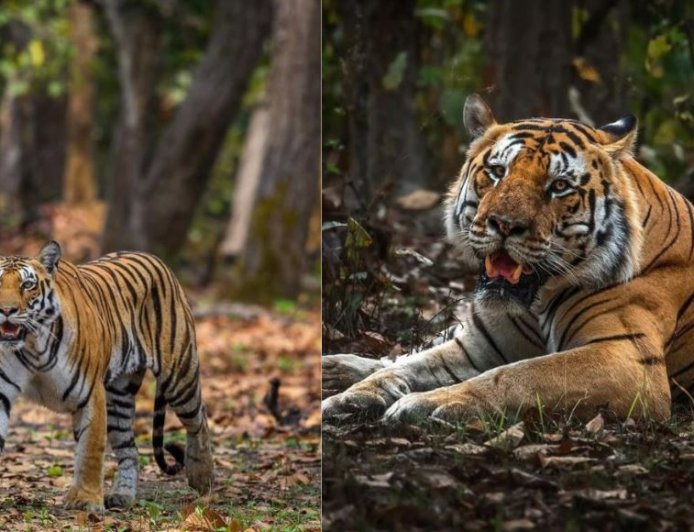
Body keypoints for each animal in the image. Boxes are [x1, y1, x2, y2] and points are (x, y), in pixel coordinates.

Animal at [0, 242, 213, 511]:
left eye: (27, 284)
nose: (5, 310)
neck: (31, 345)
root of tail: (153, 257)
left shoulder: (90, 393)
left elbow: (91, 449)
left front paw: (85, 499)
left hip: (179, 376)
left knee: (199, 420)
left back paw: (202, 478)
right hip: (119, 398)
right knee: (129, 449)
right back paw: (122, 495)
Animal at [323, 93, 694, 427]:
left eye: (559, 185)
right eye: (497, 171)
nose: (504, 224)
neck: (535, 302)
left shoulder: (626, 359)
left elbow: (518, 375)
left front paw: (430, 403)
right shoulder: (478, 345)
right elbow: (409, 366)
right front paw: (352, 397)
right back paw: (333, 368)